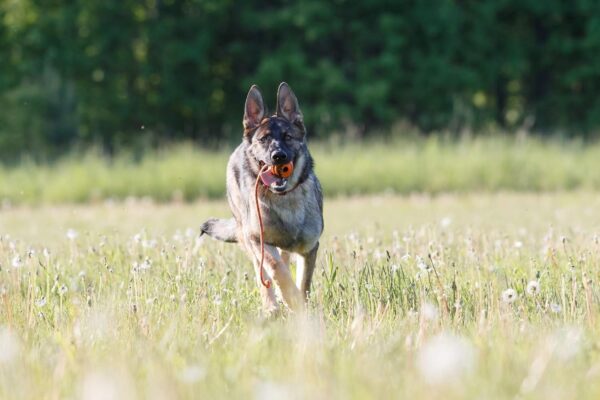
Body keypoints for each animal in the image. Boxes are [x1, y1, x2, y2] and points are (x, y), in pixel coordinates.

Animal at [200, 83, 324, 314]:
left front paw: (299, 306)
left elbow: (303, 284)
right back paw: (271, 307)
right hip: (250, 240)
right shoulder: (258, 240)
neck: (284, 199)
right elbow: (277, 270)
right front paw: (289, 298)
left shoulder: (309, 248)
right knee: (265, 275)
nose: (278, 156)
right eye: (264, 139)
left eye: (288, 137)